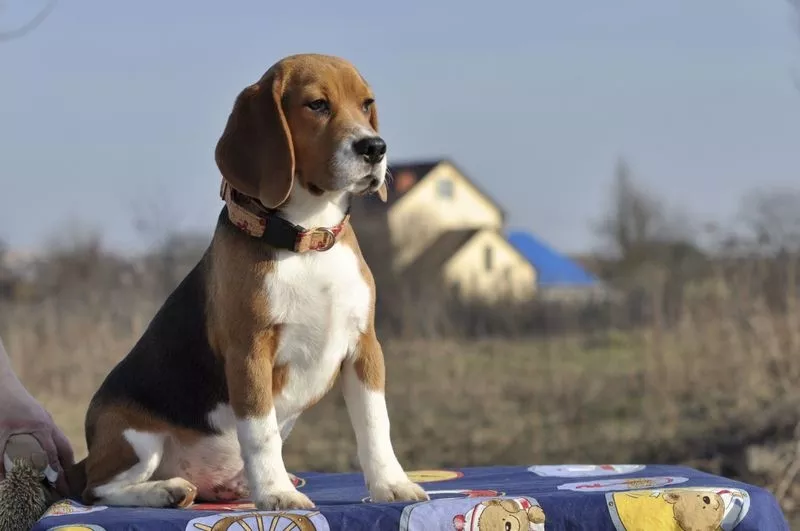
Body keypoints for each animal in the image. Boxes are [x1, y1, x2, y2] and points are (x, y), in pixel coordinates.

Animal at [72, 53, 428, 512]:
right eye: (317, 105)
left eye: (366, 104)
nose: (374, 147)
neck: (307, 239)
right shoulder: (250, 353)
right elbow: (261, 433)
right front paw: (275, 493)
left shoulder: (364, 346)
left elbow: (374, 423)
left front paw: (391, 484)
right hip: (135, 440)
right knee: (97, 489)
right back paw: (167, 489)